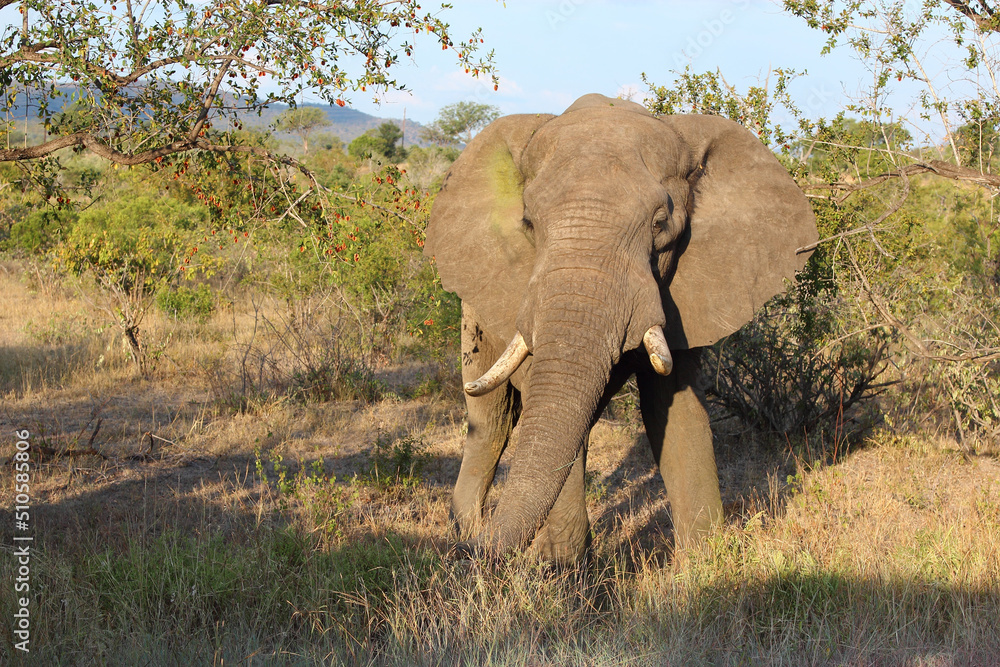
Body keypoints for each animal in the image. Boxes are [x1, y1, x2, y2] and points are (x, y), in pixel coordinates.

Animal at [423, 93, 817, 564]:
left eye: (660, 224)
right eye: (529, 223)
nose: (480, 554)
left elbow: (675, 406)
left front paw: (705, 561)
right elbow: (544, 400)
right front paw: (561, 569)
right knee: (492, 419)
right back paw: (468, 532)